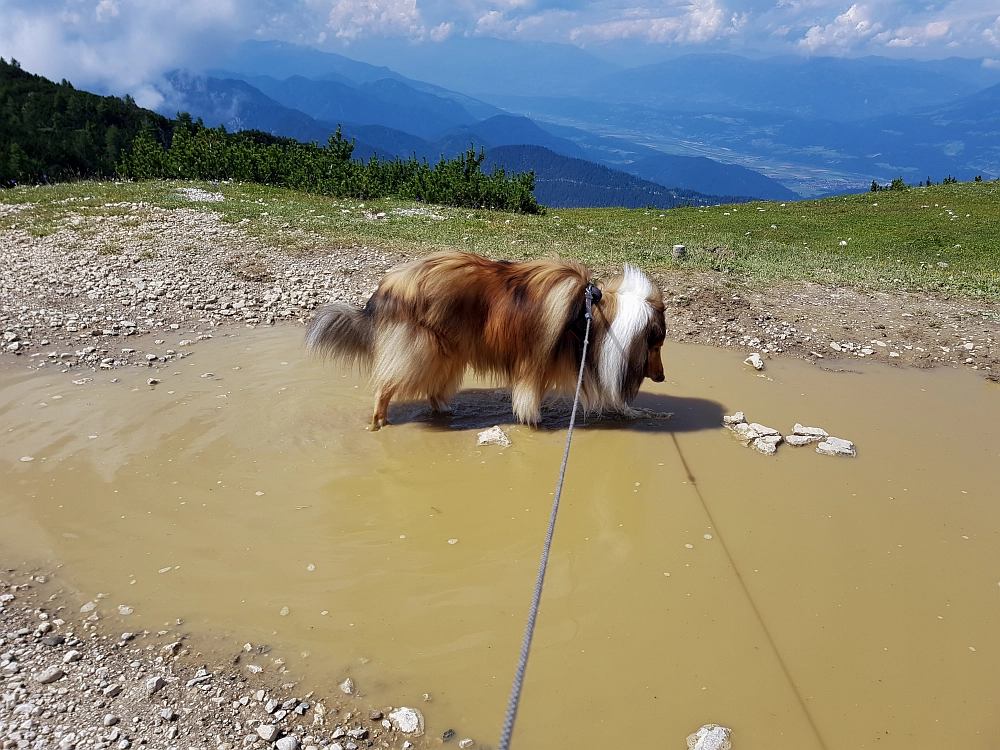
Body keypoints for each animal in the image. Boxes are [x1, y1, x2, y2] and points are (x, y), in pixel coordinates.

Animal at [304, 251, 664, 432]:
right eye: (656, 344)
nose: (661, 377)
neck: (590, 314)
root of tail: (387, 285)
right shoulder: (534, 363)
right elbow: (530, 397)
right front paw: (534, 421)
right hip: (423, 351)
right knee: (387, 386)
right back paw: (380, 422)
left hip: (448, 351)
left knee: (432, 388)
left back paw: (446, 410)